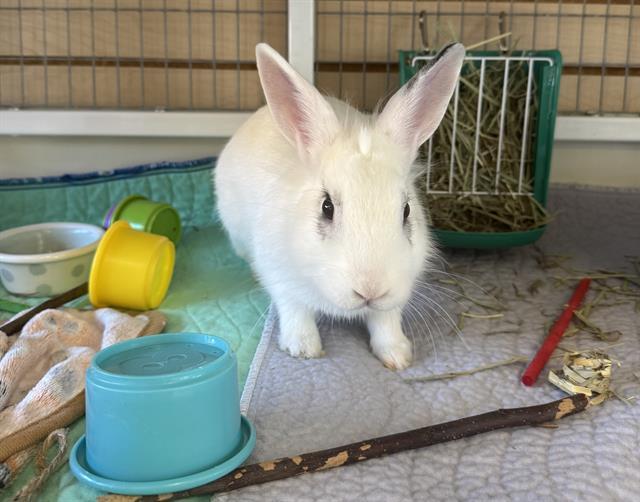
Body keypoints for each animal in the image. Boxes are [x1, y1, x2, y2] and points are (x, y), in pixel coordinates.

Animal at [214, 42, 464, 370]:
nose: (370, 289)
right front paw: (303, 349)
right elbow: (295, 311)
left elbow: (385, 320)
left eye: (407, 211)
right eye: (326, 207)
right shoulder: (280, 276)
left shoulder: (393, 297)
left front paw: (398, 356)